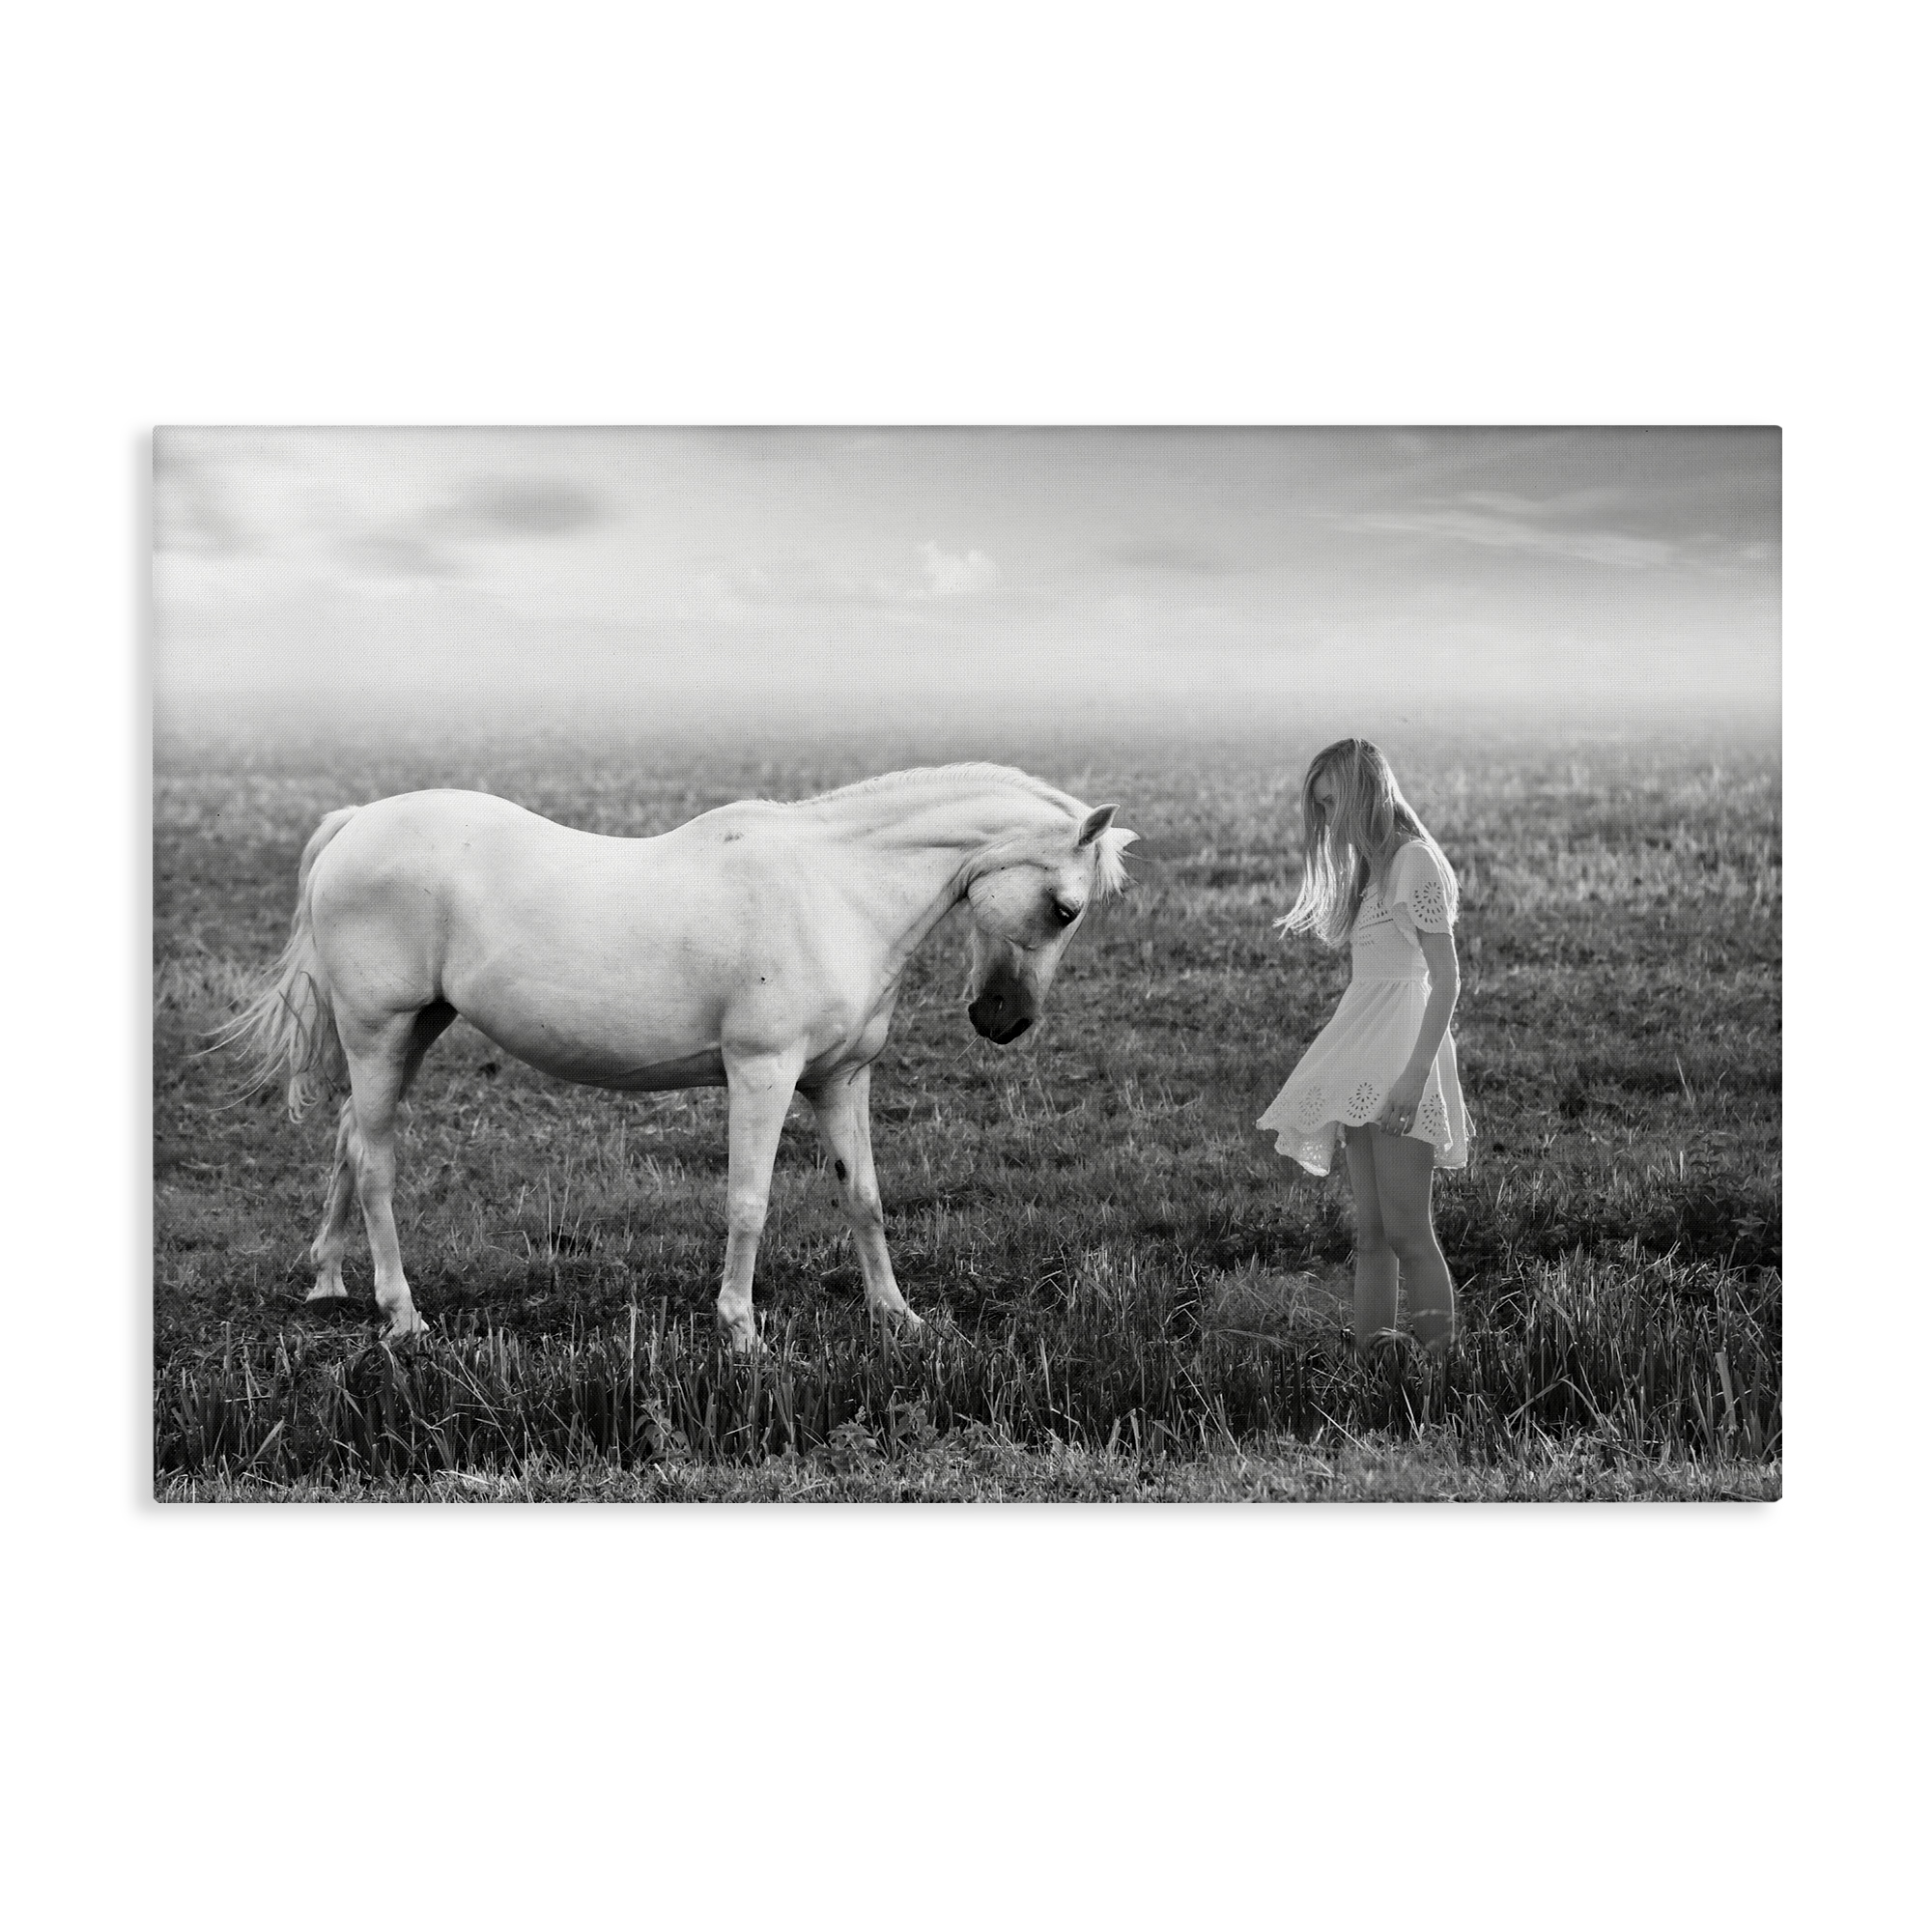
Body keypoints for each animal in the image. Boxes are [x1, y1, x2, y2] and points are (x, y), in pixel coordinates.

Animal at [221, 764, 1137, 1348]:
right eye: (1064, 908)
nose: (1004, 1020)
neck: (836, 889)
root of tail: (355, 823)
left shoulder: (840, 1080)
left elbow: (866, 1199)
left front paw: (898, 1317)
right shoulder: (762, 1073)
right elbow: (748, 1203)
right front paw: (741, 1330)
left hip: (416, 1029)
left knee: (351, 1135)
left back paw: (329, 1282)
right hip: (378, 1031)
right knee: (376, 1161)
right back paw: (402, 1314)